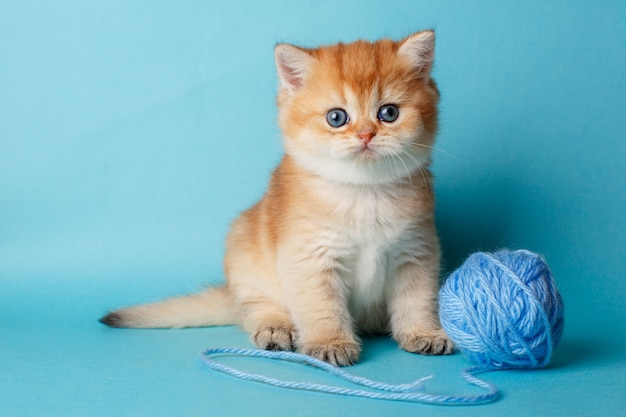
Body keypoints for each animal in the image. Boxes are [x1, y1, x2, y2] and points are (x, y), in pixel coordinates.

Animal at [102, 30, 454, 364]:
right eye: (337, 117)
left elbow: (417, 302)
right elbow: (322, 309)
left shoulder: (416, 255)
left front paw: (423, 333)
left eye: (389, 113)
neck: (363, 192)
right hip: (246, 258)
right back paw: (275, 327)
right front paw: (330, 342)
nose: (366, 135)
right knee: (254, 308)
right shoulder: (310, 260)